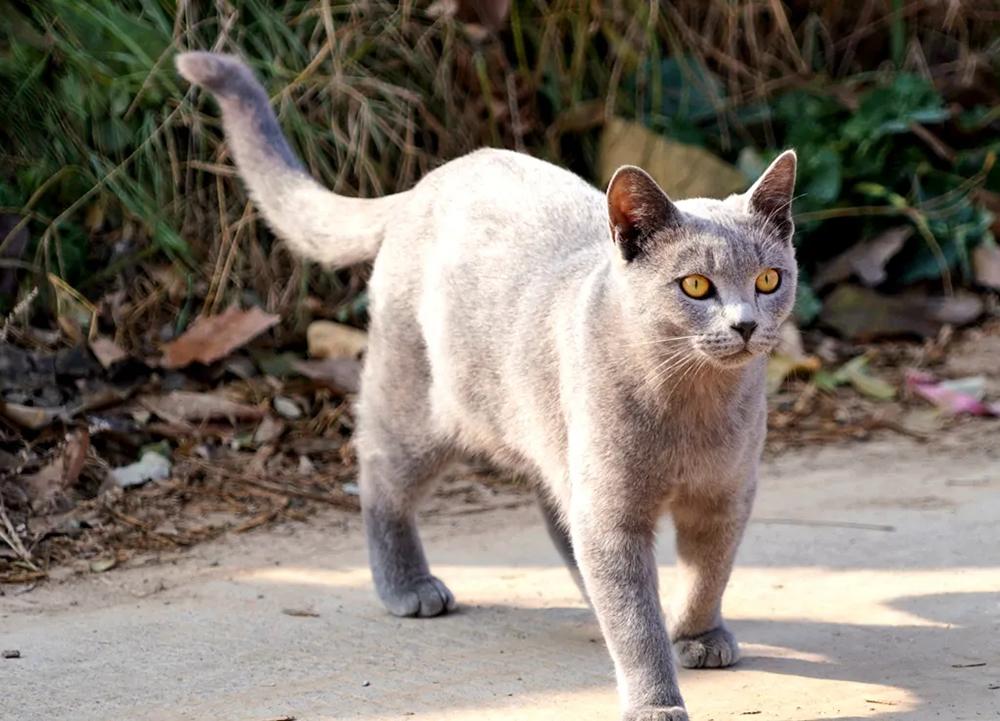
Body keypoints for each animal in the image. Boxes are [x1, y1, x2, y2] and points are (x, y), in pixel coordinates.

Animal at [174, 52, 796, 720]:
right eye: (696, 287)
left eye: (768, 279)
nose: (745, 324)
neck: (692, 401)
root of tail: (428, 182)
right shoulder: (613, 512)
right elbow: (634, 620)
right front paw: (656, 699)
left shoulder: (726, 494)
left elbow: (709, 572)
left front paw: (699, 634)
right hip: (419, 402)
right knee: (380, 475)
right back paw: (409, 586)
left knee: (558, 516)